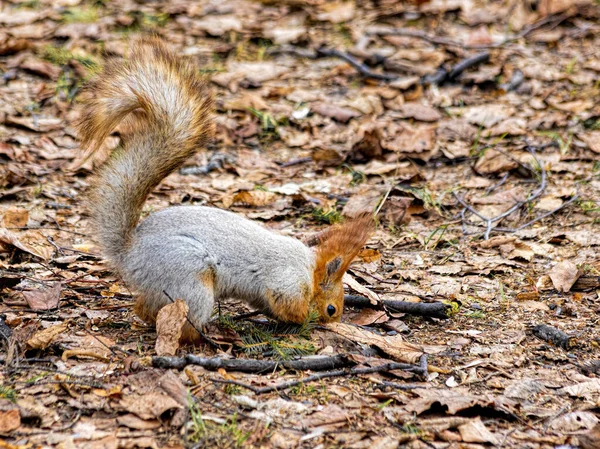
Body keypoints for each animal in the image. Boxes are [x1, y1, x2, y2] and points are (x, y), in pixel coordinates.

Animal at [77, 37, 372, 340]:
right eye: (331, 309)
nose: (332, 324)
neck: (309, 271)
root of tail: (130, 254)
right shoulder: (287, 280)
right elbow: (288, 303)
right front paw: (305, 319)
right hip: (189, 278)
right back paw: (206, 335)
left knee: (146, 308)